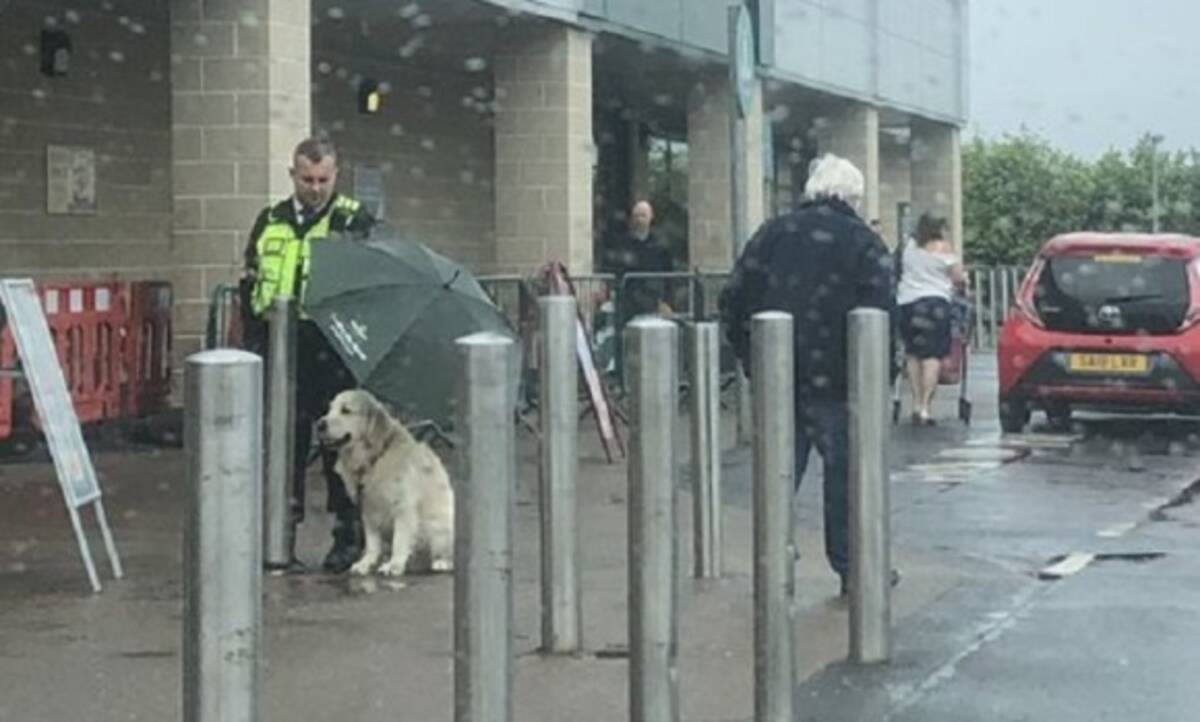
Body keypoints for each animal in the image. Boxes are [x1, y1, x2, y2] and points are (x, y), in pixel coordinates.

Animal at [314, 388, 453, 573]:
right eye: (329, 409)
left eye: (346, 410)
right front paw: (365, 563)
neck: (375, 457)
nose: (319, 425)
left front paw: (394, 565)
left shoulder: (403, 507)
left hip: (438, 525)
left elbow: (399, 540)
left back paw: (442, 562)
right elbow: (372, 543)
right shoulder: (368, 507)